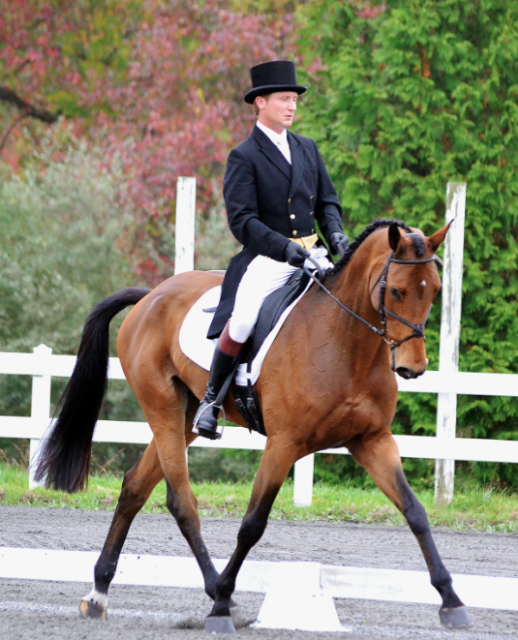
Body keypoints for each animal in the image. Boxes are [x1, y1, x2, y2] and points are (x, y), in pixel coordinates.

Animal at [35, 219, 476, 632]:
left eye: (435, 291)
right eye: (397, 291)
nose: (413, 368)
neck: (347, 344)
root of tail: (150, 296)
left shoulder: (372, 441)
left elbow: (415, 511)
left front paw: (451, 600)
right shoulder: (283, 444)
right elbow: (252, 524)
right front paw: (220, 605)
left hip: (186, 416)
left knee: (134, 488)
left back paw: (98, 593)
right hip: (162, 408)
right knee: (181, 502)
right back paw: (217, 595)